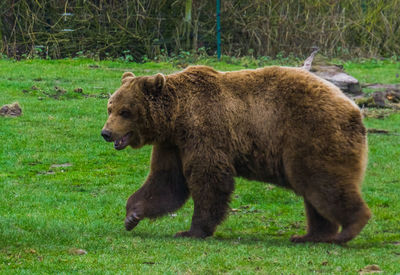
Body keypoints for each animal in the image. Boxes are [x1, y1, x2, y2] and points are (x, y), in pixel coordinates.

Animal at [101, 66, 370, 245]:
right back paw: (310, 235)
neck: (175, 117)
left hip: (310, 133)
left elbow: (208, 179)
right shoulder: (173, 144)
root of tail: (353, 107)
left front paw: (192, 230)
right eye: (110, 107)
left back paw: (348, 229)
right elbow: (166, 181)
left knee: (323, 182)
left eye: (125, 111)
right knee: (315, 192)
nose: (106, 132)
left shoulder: (204, 130)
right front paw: (132, 215)